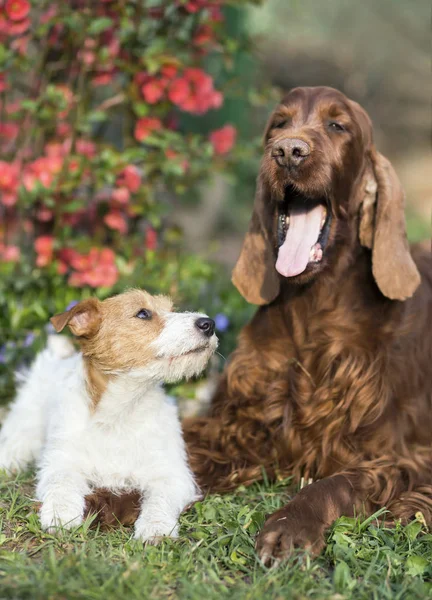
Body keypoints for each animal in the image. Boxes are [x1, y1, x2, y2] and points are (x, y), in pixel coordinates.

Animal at [0, 290, 218, 544]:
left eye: (172, 309)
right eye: (143, 313)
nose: (209, 323)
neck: (121, 412)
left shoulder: (172, 473)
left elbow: (159, 498)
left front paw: (156, 528)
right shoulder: (61, 461)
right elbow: (61, 483)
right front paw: (60, 515)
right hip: (24, 429)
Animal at [84, 86, 432, 564]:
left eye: (337, 125)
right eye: (279, 124)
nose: (287, 151)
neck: (311, 309)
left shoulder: (392, 454)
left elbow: (335, 483)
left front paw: (290, 526)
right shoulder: (235, 428)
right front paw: (105, 500)